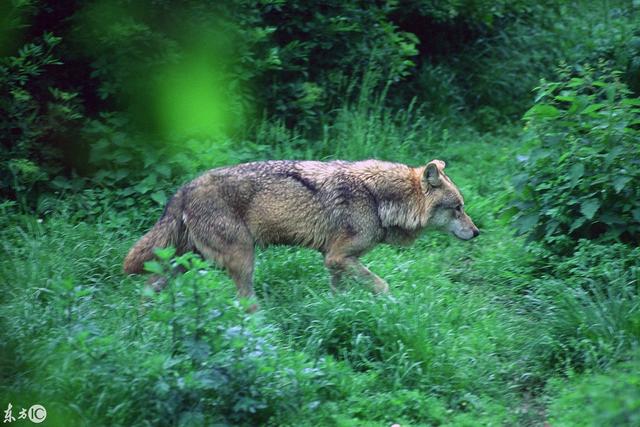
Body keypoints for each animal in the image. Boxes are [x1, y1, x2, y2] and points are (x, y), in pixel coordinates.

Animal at [122, 159, 478, 302]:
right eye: (458, 208)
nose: (476, 233)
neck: (379, 199)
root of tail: (183, 189)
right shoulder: (338, 257)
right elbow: (383, 285)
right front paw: (393, 306)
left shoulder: (334, 262)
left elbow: (339, 294)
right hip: (242, 260)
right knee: (246, 304)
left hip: (186, 262)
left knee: (147, 290)